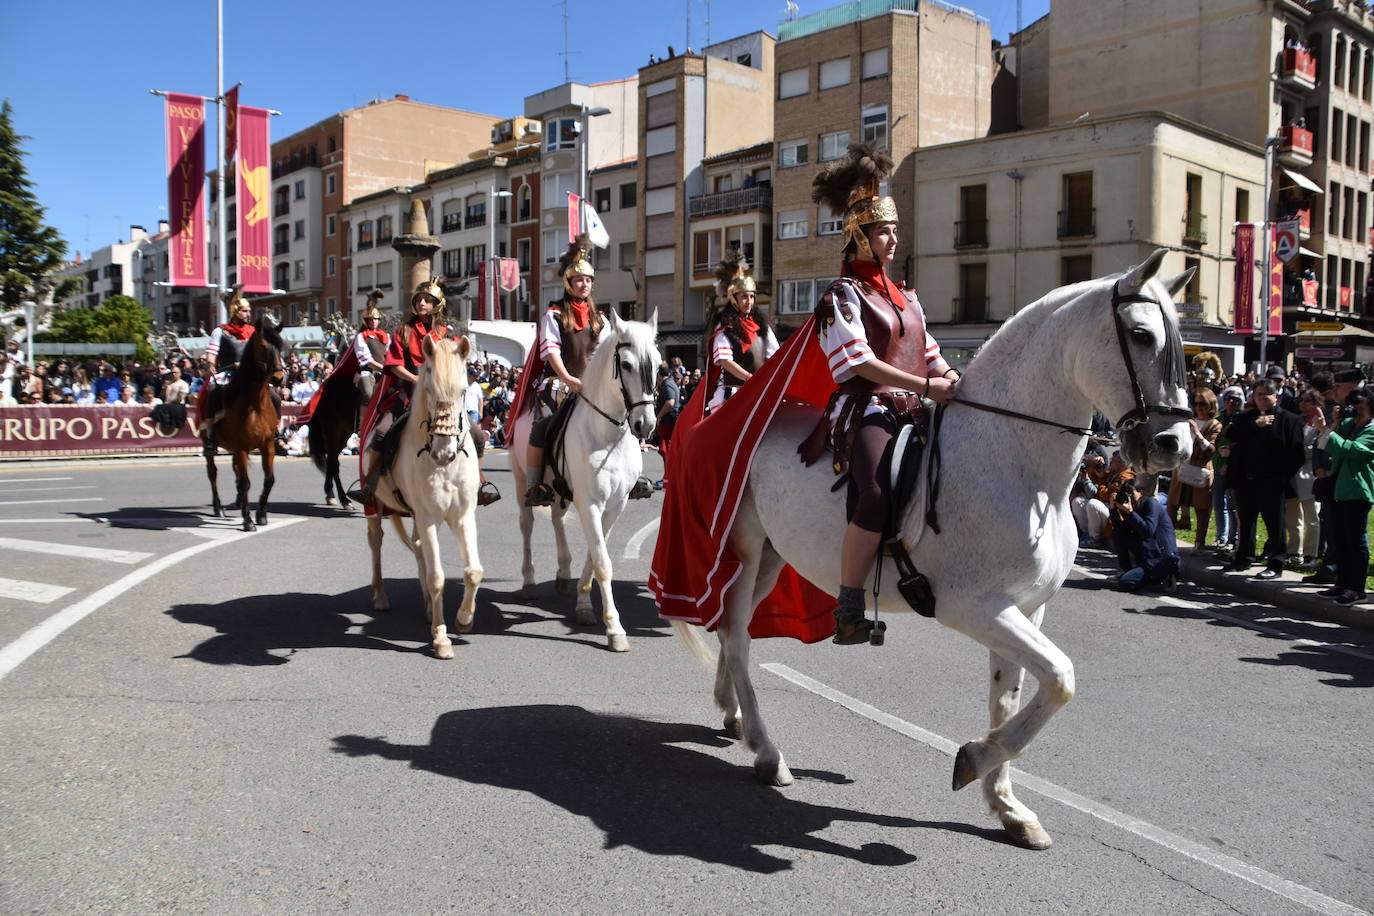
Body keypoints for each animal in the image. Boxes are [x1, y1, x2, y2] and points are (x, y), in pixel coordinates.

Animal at [200, 313, 284, 532]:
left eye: (281, 347)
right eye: (263, 347)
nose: (279, 378)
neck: (254, 404)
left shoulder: (267, 445)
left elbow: (269, 479)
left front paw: (261, 514)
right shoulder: (241, 448)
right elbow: (246, 482)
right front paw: (248, 520)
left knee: (235, 472)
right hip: (211, 446)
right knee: (212, 473)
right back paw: (218, 507)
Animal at [368, 335, 486, 659]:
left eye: (463, 391)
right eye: (430, 390)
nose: (443, 453)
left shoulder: (463, 515)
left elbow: (473, 572)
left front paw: (464, 619)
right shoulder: (429, 517)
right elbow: (437, 577)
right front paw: (441, 638)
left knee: (418, 547)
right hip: (376, 507)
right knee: (376, 543)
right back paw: (380, 597)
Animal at [511, 313, 659, 650]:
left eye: (658, 364)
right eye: (626, 364)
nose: (645, 425)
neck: (609, 437)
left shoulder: (615, 505)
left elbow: (595, 554)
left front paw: (583, 606)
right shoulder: (590, 503)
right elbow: (602, 562)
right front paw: (615, 629)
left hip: (560, 491)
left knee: (557, 519)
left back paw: (563, 572)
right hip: (521, 479)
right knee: (526, 525)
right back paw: (529, 580)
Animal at [676, 252, 1192, 851]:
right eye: (1141, 334)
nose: (1176, 445)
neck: (1012, 461)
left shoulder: (1026, 608)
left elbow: (1012, 695)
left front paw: (1008, 806)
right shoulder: (973, 607)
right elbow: (1062, 678)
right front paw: (975, 757)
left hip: (774, 557)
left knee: (729, 631)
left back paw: (732, 714)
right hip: (746, 549)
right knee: (736, 634)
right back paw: (766, 751)